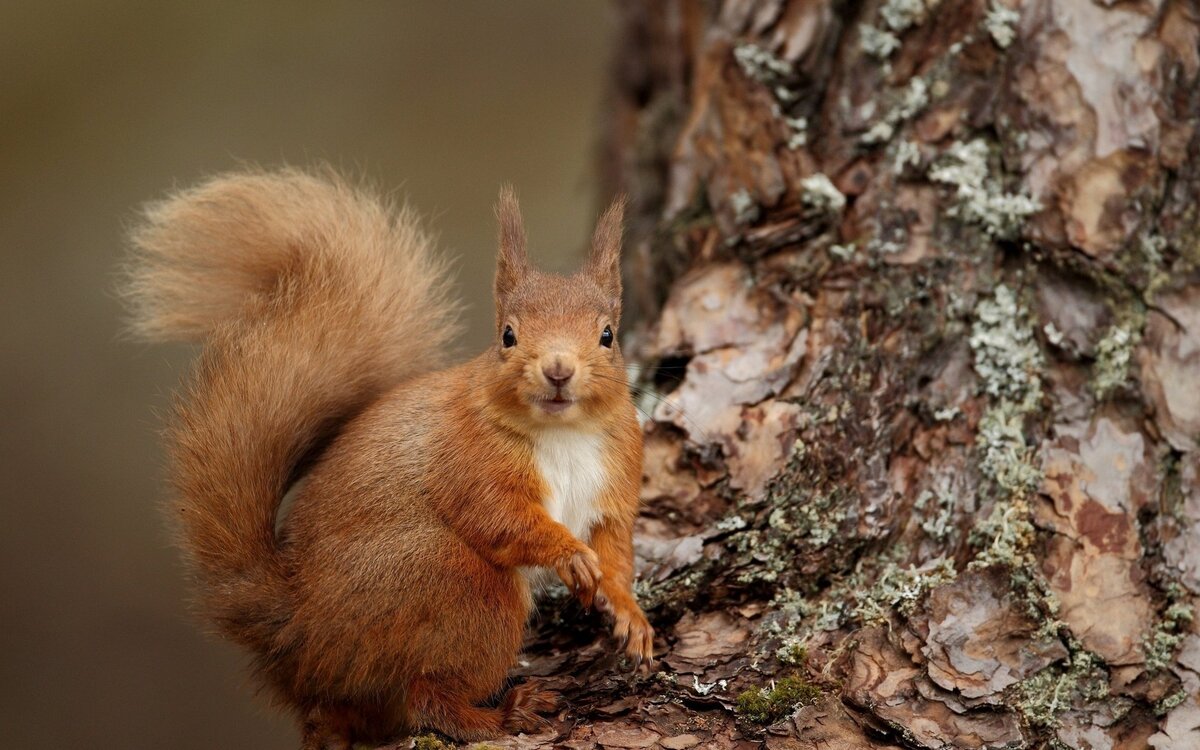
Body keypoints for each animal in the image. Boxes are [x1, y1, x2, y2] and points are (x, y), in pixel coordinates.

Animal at [124, 169, 657, 748]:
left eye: (607, 335)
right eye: (507, 335)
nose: (558, 370)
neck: (563, 434)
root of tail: (297, 635)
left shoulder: (616, 479)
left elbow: (614, 550)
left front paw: (629, 614)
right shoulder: (468, 461)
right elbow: (501, 519)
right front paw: (569, 554)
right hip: (454, 584)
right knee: (427, 697)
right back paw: (502, 714)